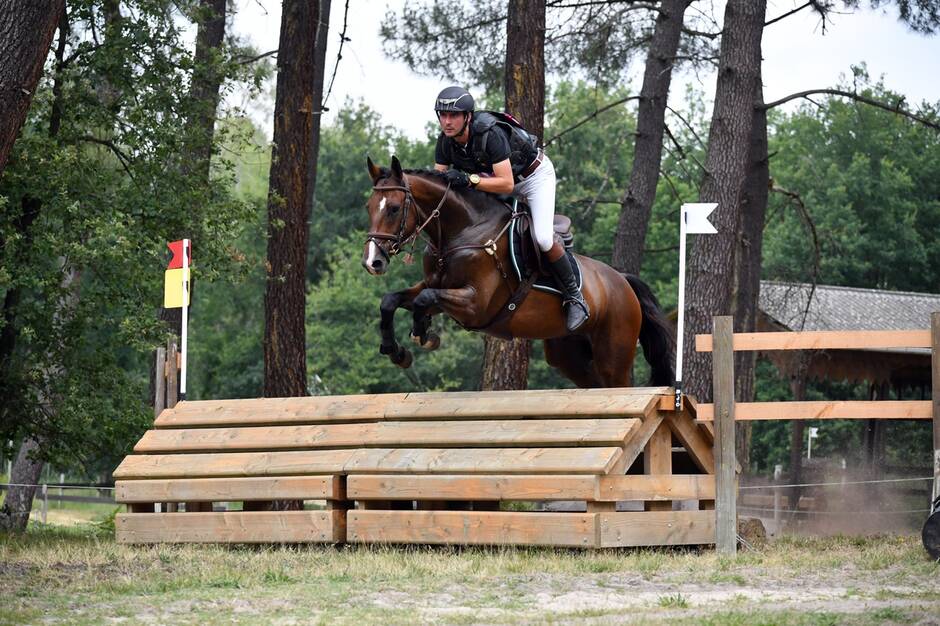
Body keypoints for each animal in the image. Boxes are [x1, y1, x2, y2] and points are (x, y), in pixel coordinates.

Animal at [360, 156, 676, 386]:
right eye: (368, 206)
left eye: (394, 208)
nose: (372, 262)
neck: (462, 231)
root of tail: (622, 281)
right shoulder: (436, 286)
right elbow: (392, 300)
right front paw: (397, 351)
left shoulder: (475, 304)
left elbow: (425, 300)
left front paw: (422, 333)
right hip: (568, 355)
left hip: (614, 355)